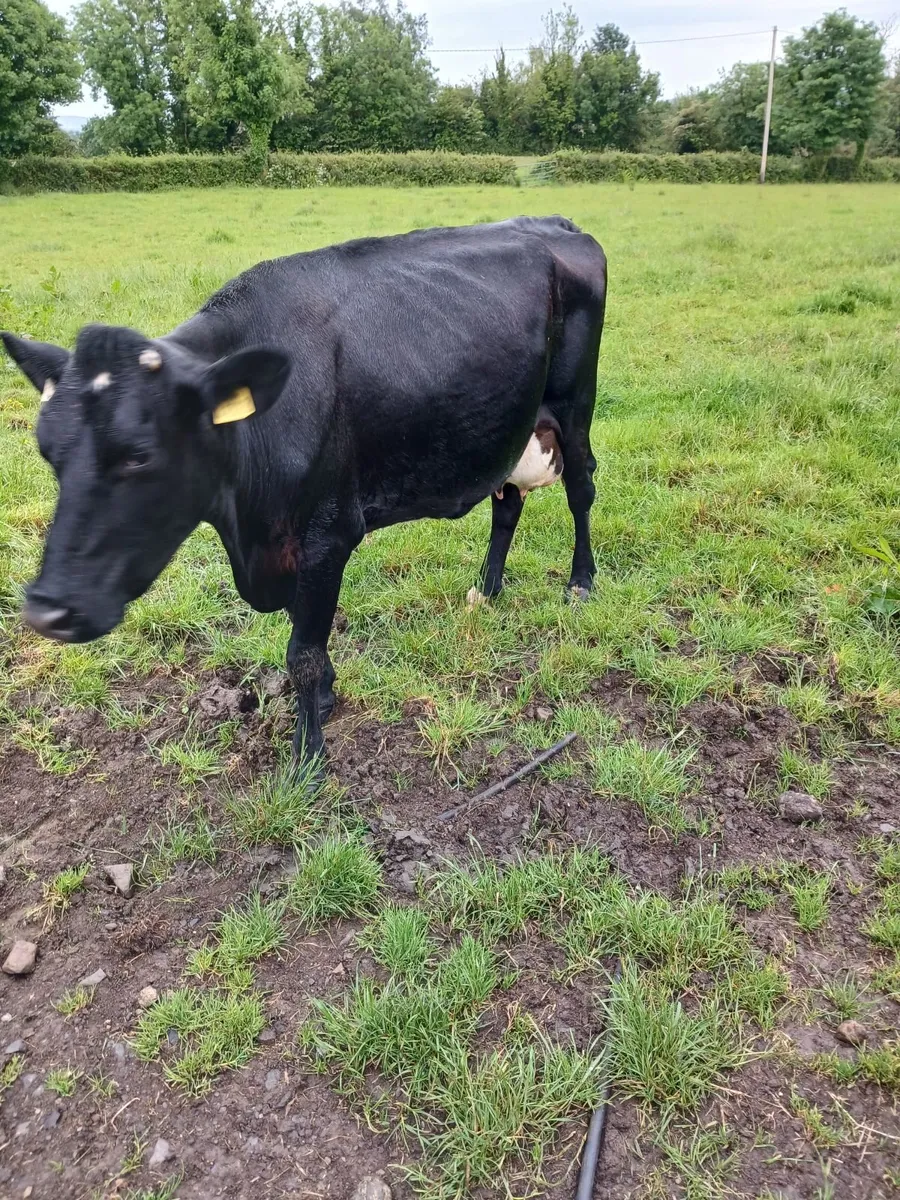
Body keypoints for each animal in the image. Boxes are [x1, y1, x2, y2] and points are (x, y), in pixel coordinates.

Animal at [2, 215, 607, 765]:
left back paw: (580, 582)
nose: (48, 611)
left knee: (581, 489)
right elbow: (304, 632)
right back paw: (487, 587)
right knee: (506, 503)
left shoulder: (326, 534)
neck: (247, 532)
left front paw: (308, 756)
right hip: (512, 425)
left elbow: (303, 652)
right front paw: (325, 698)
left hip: (574, 408)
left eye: (139, 454)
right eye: (47, 451)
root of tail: (557, 224)